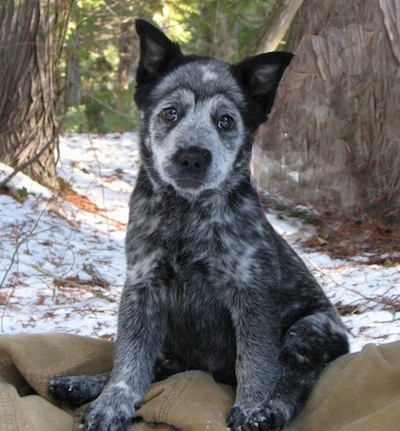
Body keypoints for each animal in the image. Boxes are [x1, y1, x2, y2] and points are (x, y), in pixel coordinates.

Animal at [50, 19, 350, 431]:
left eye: (225, 121)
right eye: (170, 113)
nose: (193, 156)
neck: (187, 216)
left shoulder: (251, 293)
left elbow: (256, 360)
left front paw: (252, 407)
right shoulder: (142, 287)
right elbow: (129, 359)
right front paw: (112, 404)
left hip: (309, 329)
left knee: (294, 378)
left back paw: (271, 411)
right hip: (174, 345)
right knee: (156, 368)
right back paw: (83, 384)